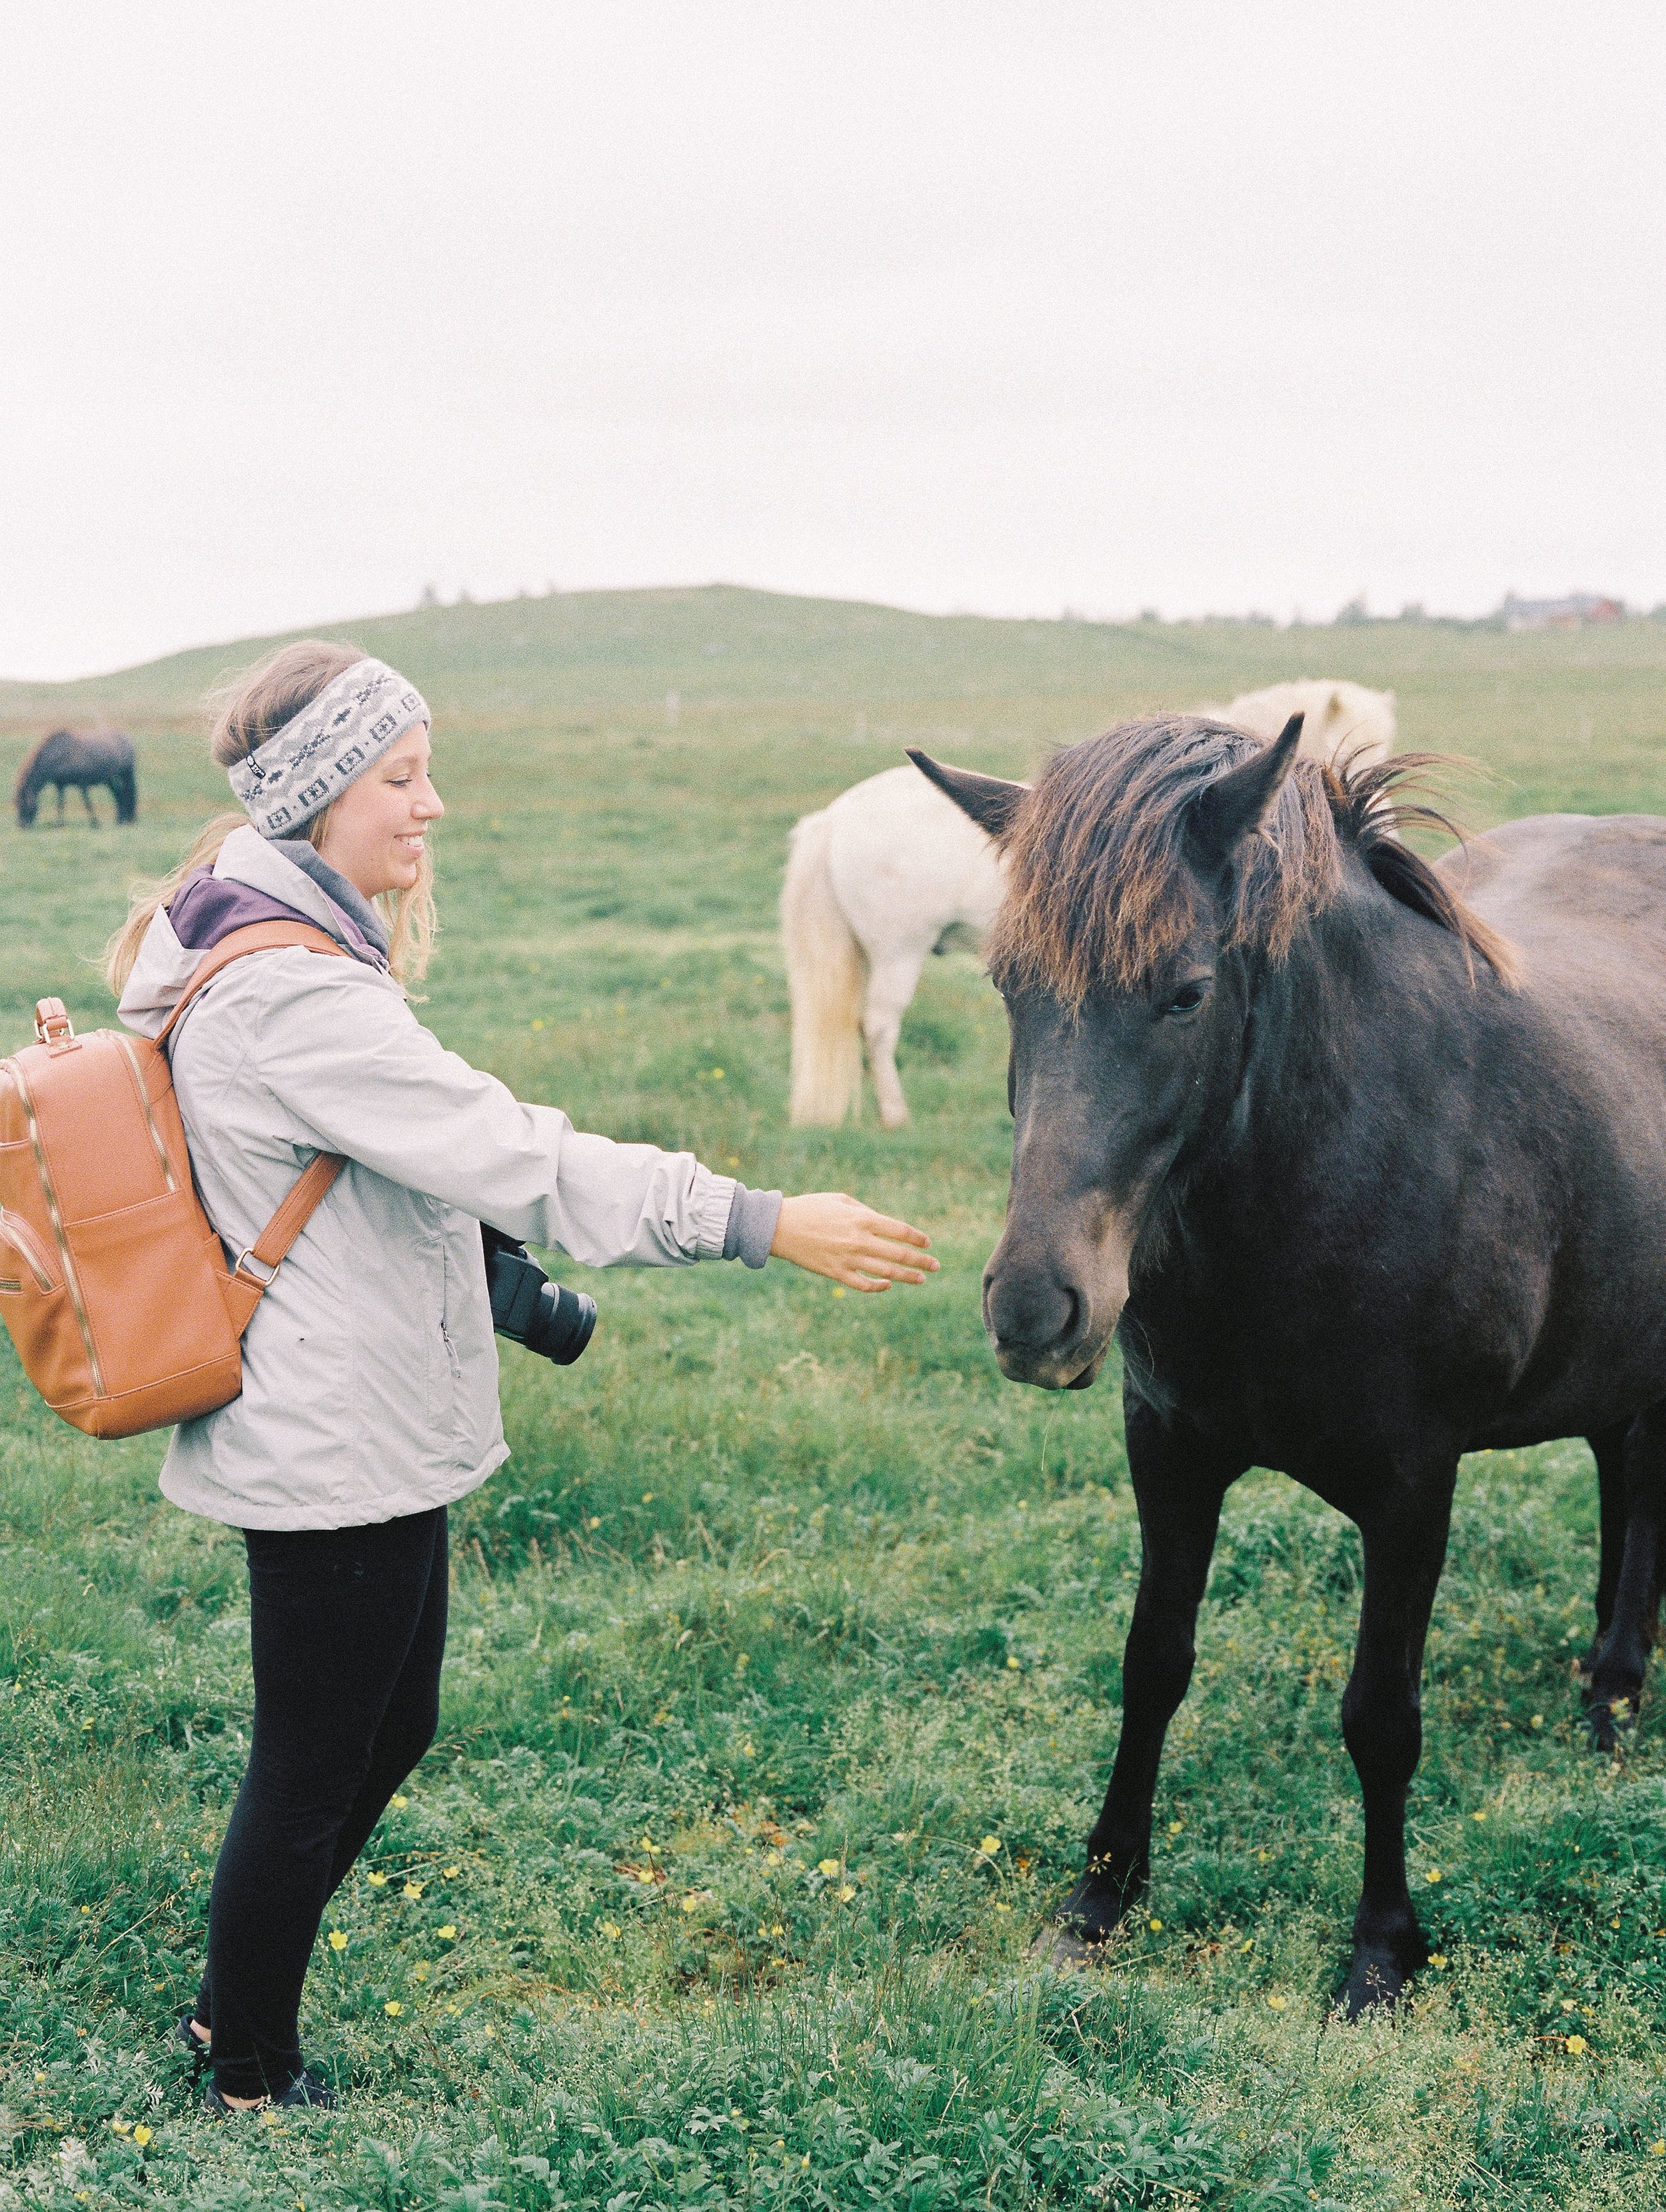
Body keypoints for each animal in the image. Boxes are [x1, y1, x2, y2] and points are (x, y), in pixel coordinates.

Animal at [15, 730, 137, 827]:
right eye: (17, 805)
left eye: (23, 806)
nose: (21, 826)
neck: (61, 755)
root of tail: (127, 740)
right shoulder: (61, 785)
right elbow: (61, 803)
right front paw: (60, 824)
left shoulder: (83, 783)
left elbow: (87, 803)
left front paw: (95, 823)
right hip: (111, 780)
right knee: (119, 796)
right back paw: (121, 820)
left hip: (125, 777)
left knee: (126, 795)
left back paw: (125, 820)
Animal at [911, 725, 1663, 2026]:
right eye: (1008, 987)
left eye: (1186, 994)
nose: (1033, 1310)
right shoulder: (1168, 1448)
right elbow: (1152, 1665)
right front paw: (1099, 1900)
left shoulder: (1413, 1488)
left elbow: (1381, 1719)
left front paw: (1381, 1954)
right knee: (1624, 1463)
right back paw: (1606, 1683)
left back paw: (1615, 1686)